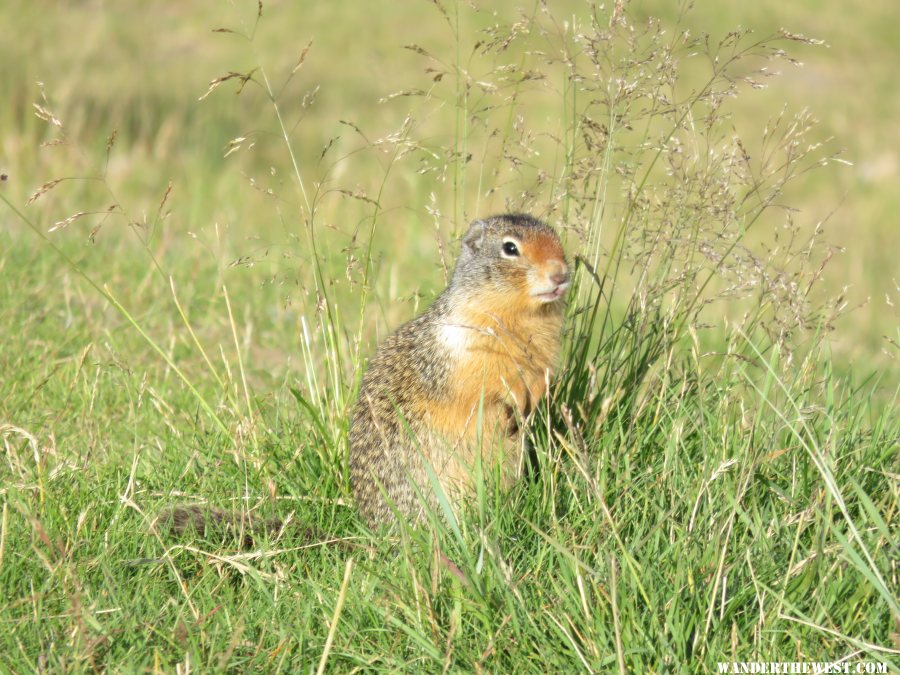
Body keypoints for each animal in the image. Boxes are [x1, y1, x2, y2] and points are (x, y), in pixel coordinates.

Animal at [348, 215, 568, 528]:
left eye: (556, 238)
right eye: (510, 248)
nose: (561, 274)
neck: (521, 317)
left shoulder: (544, 355)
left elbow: (540, 378)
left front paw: (529, 408)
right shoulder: (466, 350)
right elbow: (489, 381)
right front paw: (515, 401)